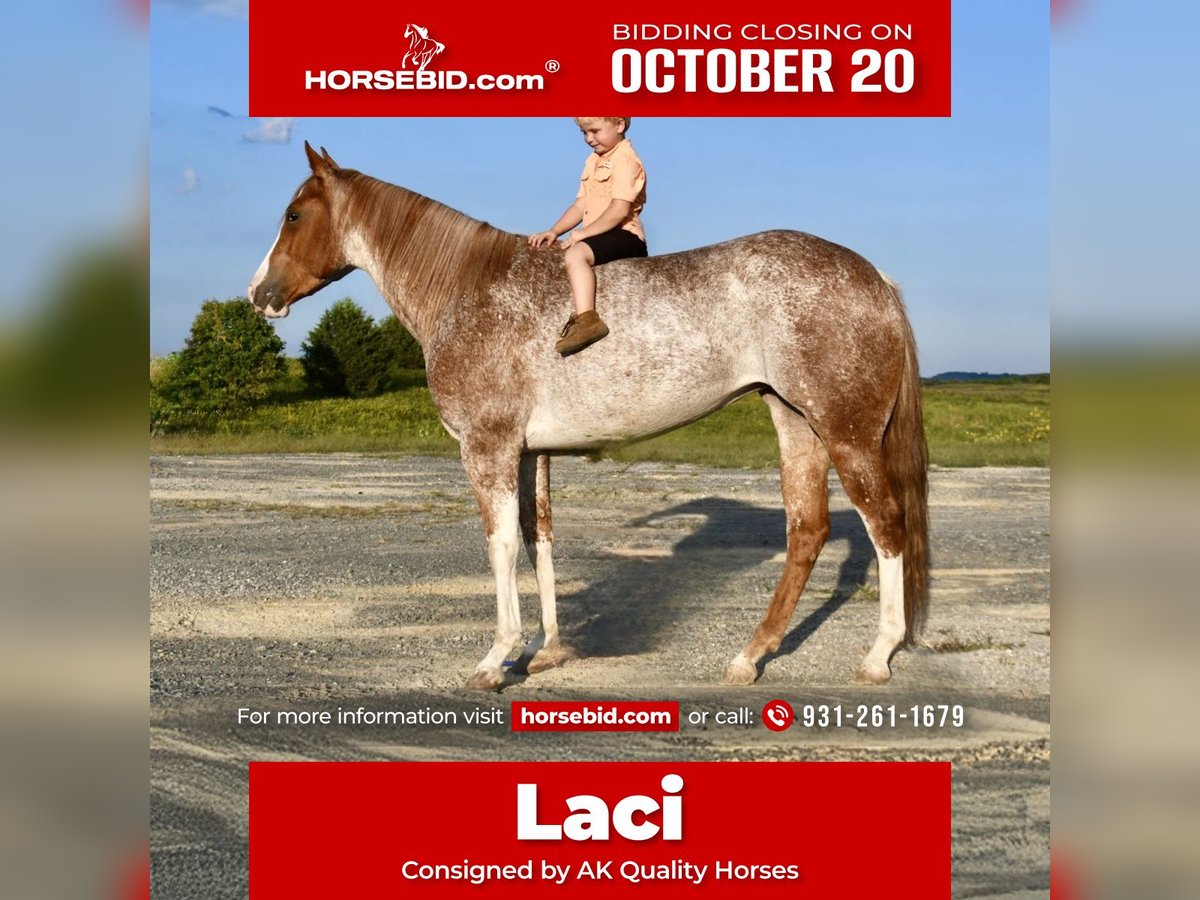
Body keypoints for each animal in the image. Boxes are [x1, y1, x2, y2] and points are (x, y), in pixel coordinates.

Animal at [248, 142, 929, 691]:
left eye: (294, 214)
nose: (259, 295)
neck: (467, 288)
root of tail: (873, 277)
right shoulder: (531, 454)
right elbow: (539, 540)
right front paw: (545, 651)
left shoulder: (488, 448)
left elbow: (500, 546)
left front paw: (495, 660)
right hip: (794, 422)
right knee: (807, 531)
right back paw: (749, 658)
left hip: (847, 435)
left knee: (886, 524)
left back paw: (877, 657)